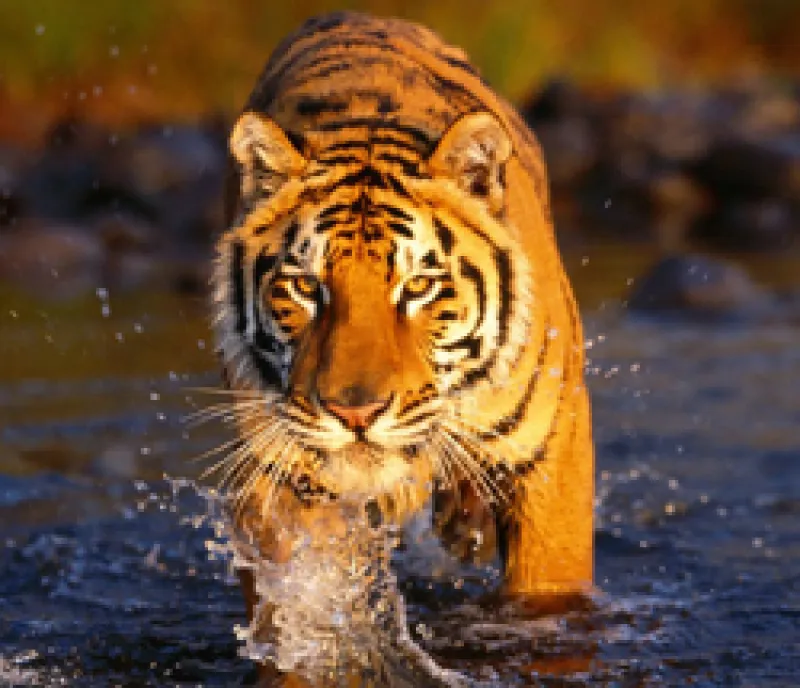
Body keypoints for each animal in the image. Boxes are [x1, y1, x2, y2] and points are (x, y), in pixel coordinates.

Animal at [210, 10, 593, 683]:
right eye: (306, 286)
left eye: (417, 287)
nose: (355, 412)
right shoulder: (277, 476)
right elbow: (299, 614)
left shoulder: (553, 459)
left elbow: (546, 601)